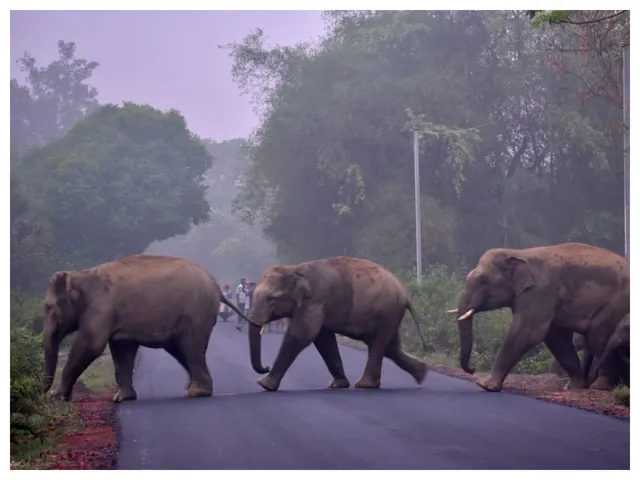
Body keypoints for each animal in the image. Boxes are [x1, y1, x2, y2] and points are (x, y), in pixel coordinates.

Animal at [42, 254, 255, 402]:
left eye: (48, 307)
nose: (43, 393)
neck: (82, 274)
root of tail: (216, 286)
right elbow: (121, 349)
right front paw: (122, 398)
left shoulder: (101, 308)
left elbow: (91, 345)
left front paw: (57, 397)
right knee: (181, 349)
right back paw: (194, 388)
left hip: (196, 313)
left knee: (191, 347)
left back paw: (197, 392)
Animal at [247, 256, 430, 392]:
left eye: (272, 299)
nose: (266, 366)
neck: (295, 269)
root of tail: (405, 293)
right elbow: (323, 339)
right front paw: (338, 385)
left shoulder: (316, 300)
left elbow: (301, 335)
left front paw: (264, 384)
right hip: (391, 314)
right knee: (390, 346)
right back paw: (422, 373)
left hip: (387, 311)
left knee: (378, 343)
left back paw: (365, 385)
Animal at [447, 242, 629, 393]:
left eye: (483, 281)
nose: (472, 370)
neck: (518, 253)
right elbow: (556, 338)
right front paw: (573, 387)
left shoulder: (540, 292)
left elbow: (527, 332)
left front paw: (485, 385)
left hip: (616, 305)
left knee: (598, 338)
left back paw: (600, 387)